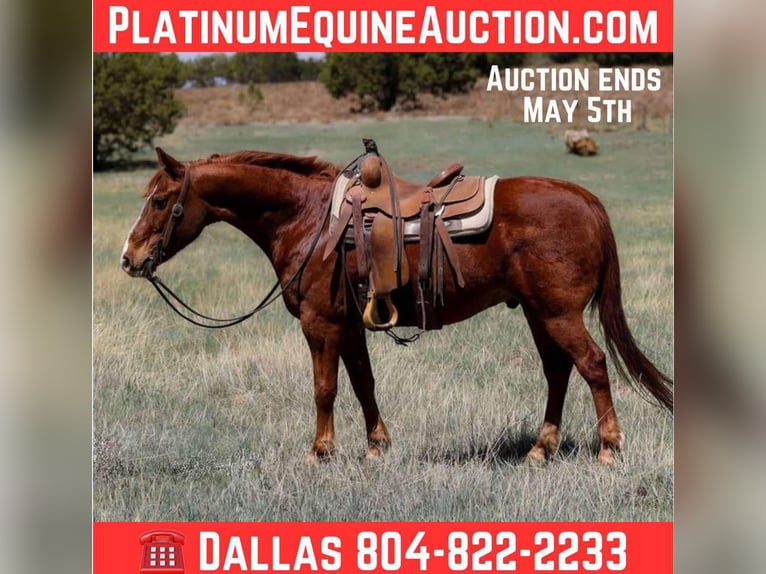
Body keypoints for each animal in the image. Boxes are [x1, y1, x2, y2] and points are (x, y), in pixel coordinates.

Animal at [120, 146, 673, 465]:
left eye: (159, 200)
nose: (130, 258)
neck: (308, 218)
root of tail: (585, 199)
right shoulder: (348, 324)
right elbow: (362, 383)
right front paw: (376, 447)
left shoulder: (320, 323)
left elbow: (324, 389)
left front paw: (320, 453)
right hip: (540, 313)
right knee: (559, 371)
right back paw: (541, 450)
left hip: (559, 314)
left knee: (593, 364)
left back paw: (609, 448)